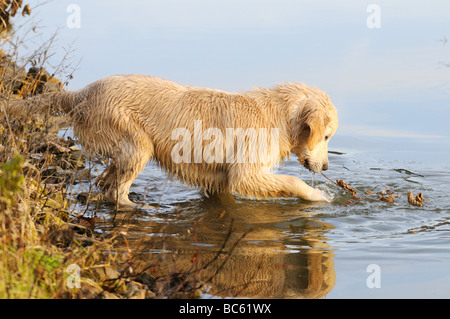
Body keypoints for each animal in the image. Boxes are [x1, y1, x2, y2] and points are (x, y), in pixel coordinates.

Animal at [3, 75, 338, 210]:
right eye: (326, 136)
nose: (326, 166)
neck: (279, 116)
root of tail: (83, 93)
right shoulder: (246, 174)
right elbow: (291, 182)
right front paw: (319, 196)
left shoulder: (219, 179)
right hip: (137, 143)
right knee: (116, 192)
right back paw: (138, 206)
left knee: (104, 181)